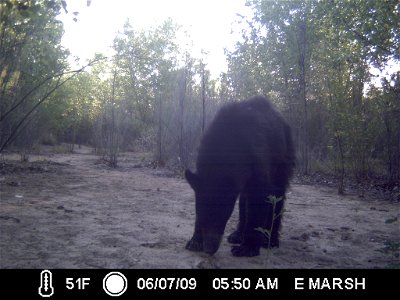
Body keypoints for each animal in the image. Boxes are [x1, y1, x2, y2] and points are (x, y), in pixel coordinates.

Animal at [184, 95, 294, 256]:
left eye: (221, 215)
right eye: (201, 214)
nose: (209, 249)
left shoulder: (257, 158)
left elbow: (259, 198)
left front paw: (247, 247)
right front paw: (195, 241)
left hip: (283, 157)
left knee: (278, 193)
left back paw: (271, 240)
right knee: (244, 200)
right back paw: (237, 234)